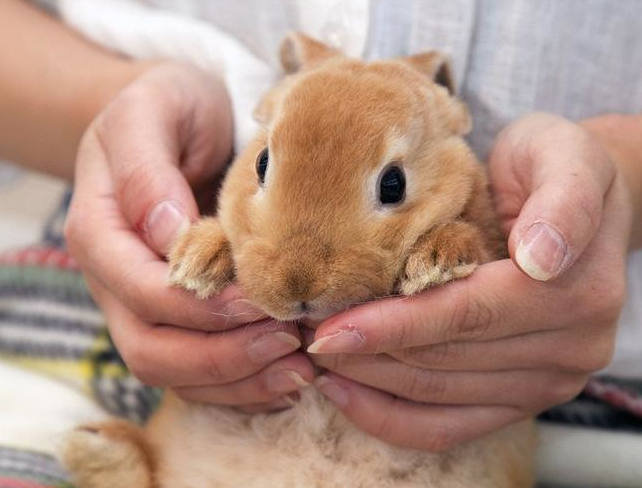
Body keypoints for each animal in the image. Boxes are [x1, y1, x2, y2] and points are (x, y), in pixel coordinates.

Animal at [63, 34, 536, 488]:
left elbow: (481, 242)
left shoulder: (489, 232)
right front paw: (196, 262)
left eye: (394, 184)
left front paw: (436, 263)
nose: (299, 283)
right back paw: (94, 444)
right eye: (261, 162)